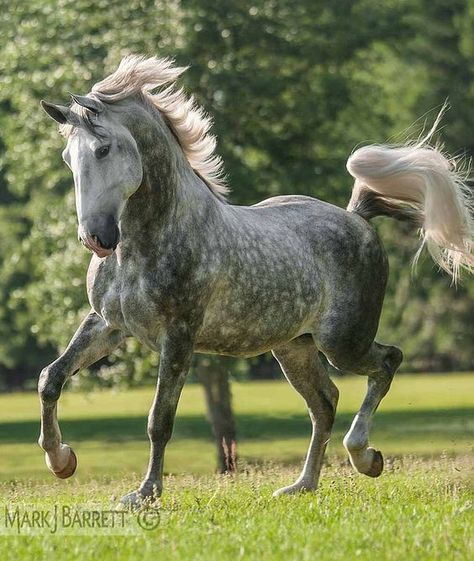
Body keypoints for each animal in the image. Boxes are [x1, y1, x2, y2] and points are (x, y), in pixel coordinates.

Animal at [39, 54, 470, 506]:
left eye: (103, 148)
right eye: (68, 157)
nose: (95, 238)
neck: (146, 243)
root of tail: (357, 218)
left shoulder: (178, 336)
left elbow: (159, 419)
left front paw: (144, 493)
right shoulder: (108, 325)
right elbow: (51, 378)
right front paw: (62, 461)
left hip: (342, 342)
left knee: (387, 362)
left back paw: (365, 457)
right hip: (294, 347)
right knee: (325, 402)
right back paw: (302, 485)